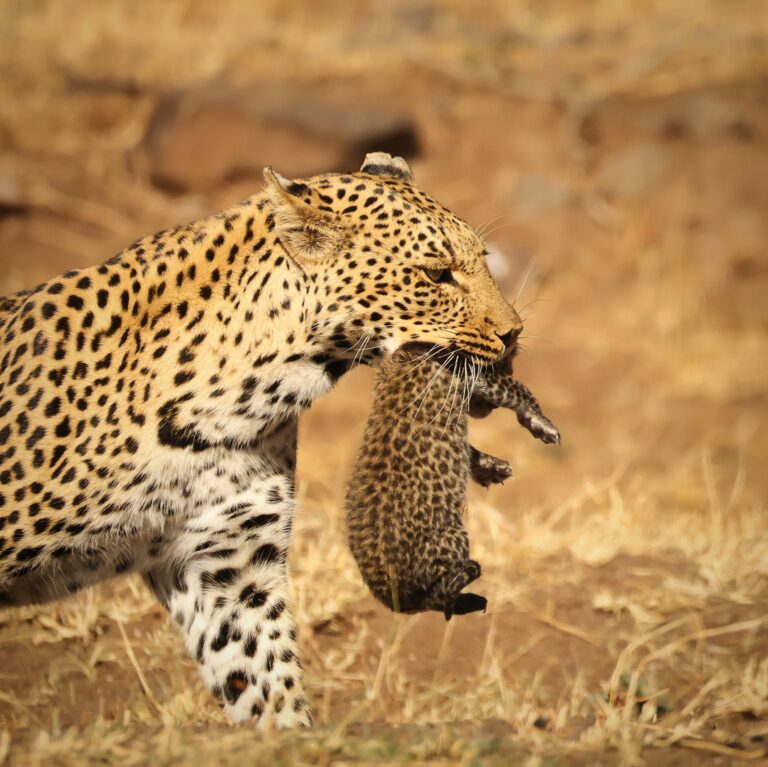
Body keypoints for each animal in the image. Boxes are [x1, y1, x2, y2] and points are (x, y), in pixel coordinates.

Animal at [345, 348, 560, 619]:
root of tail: (389, 596)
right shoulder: (476, 374)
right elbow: (515, 389)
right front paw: (541, 422)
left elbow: (469, 450)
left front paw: (492, 467)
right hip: (451, 537)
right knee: (439, 594)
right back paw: (470, 577)